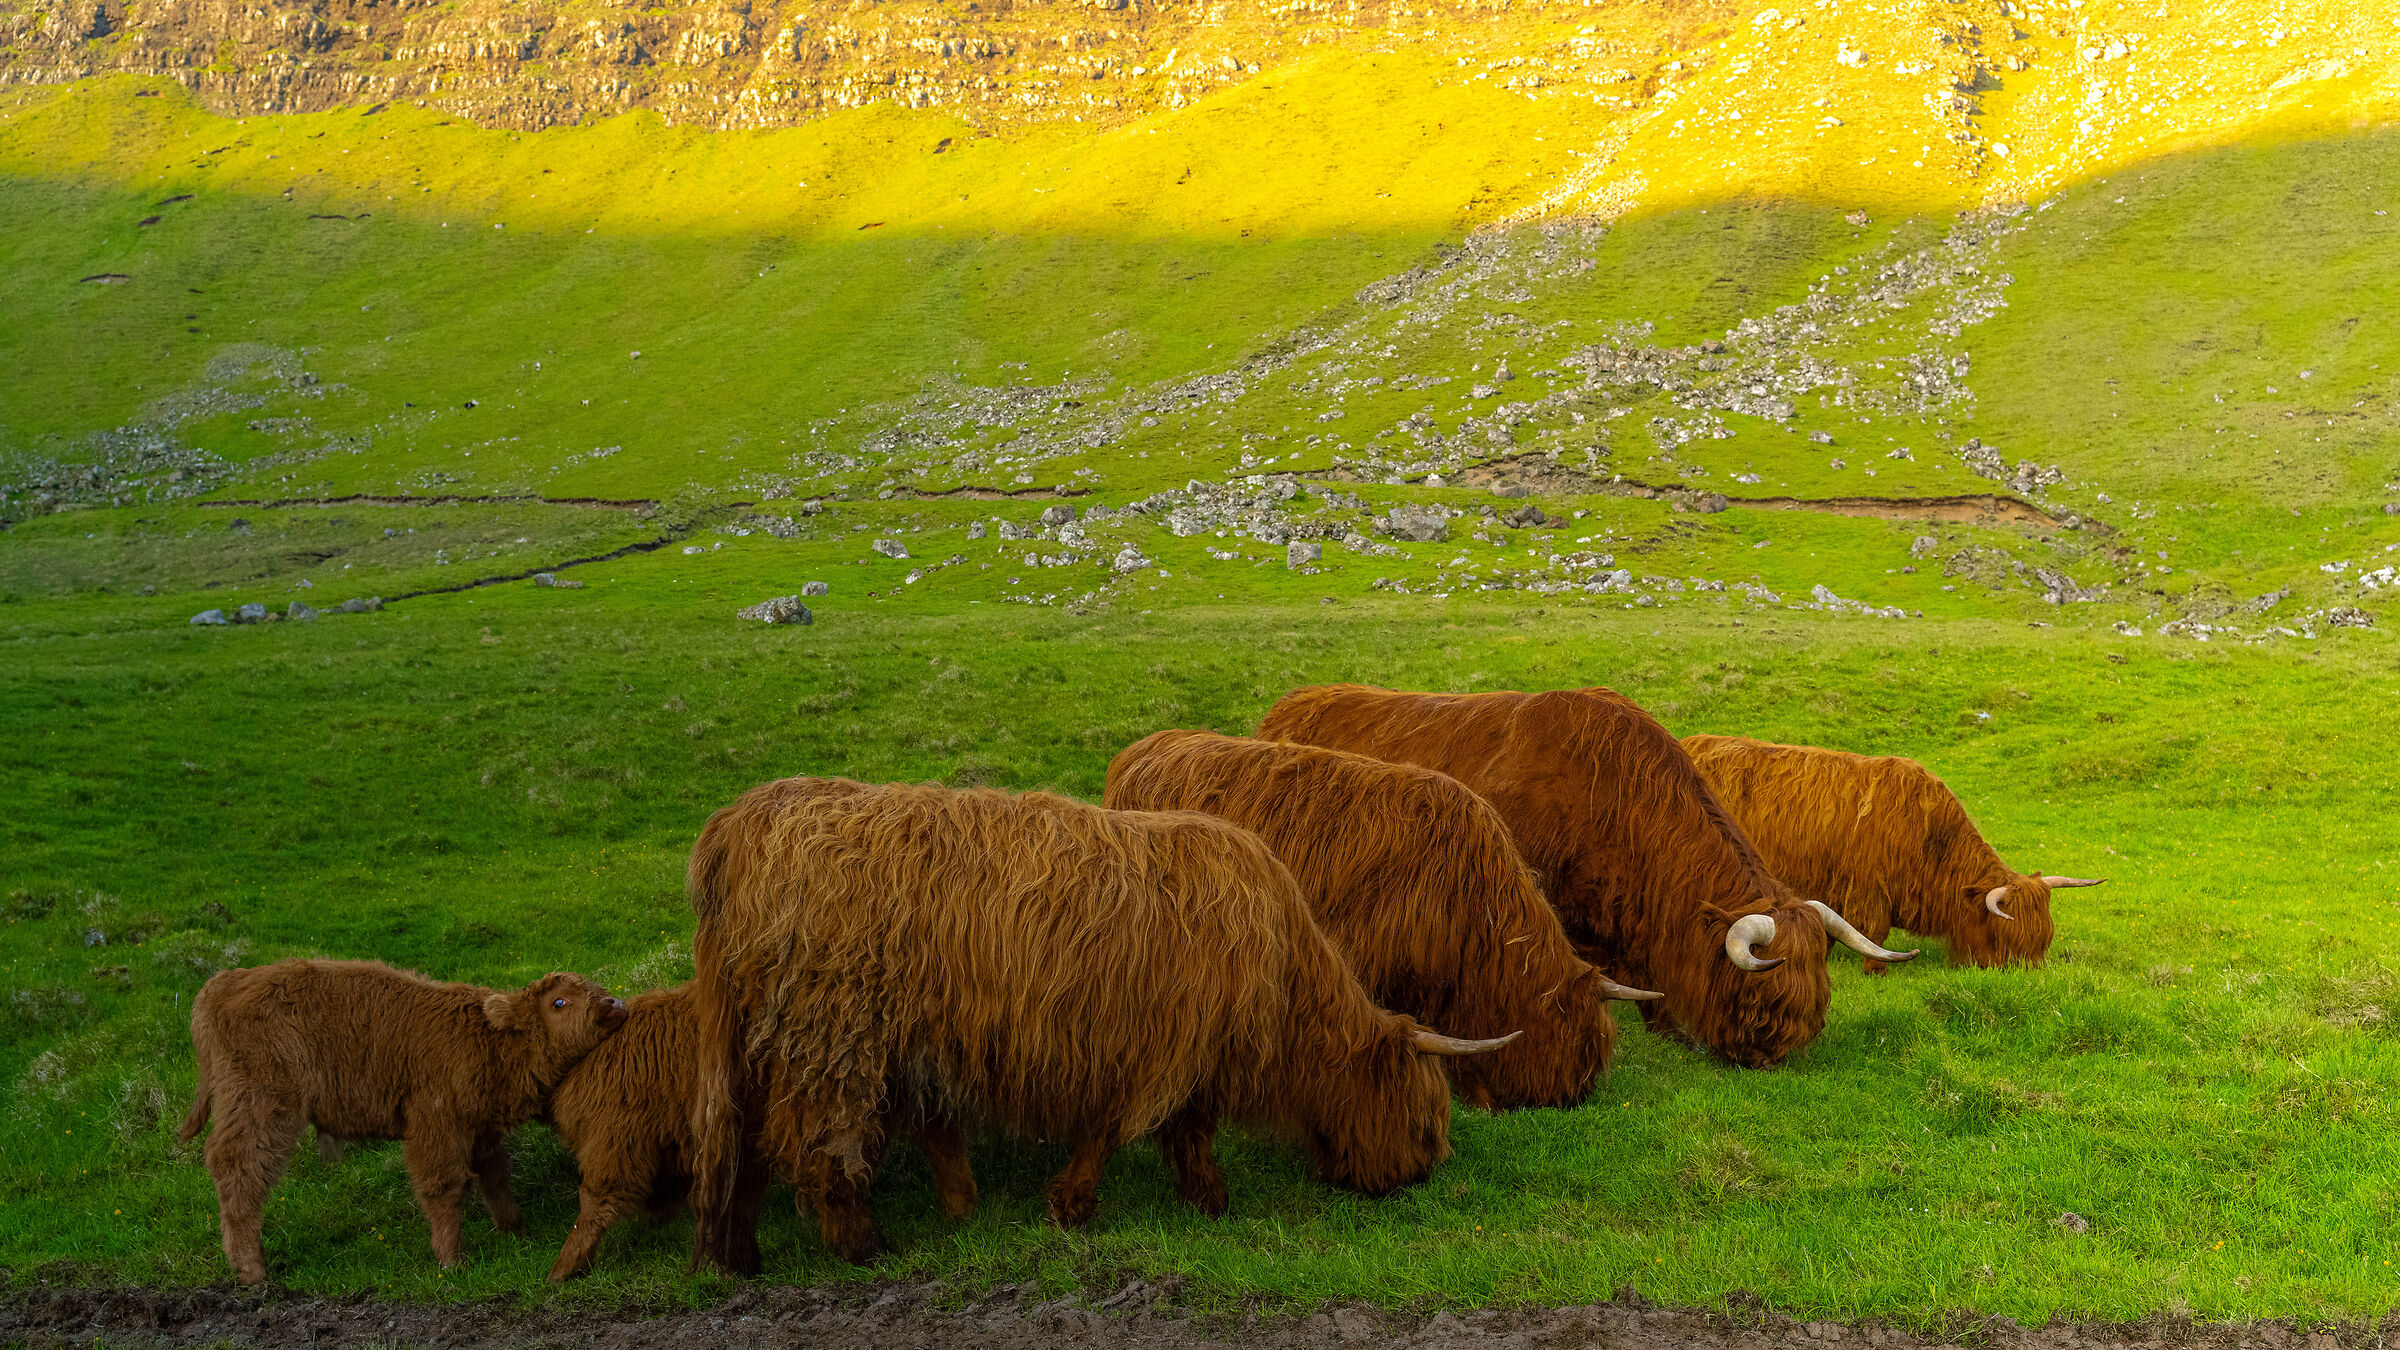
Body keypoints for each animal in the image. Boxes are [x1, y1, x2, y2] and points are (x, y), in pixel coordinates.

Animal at [178, 958, 626, 1285]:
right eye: (560, 1003)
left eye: (595, 989)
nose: (613, 1004)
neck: (487, 1036)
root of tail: (224, 983)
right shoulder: (436, 1127)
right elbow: (444, 1189)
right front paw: (453, 1260)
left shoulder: (480, 1131)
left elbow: (496, 1178)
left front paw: (517, 1232)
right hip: (263, 1108)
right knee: (239, 1172)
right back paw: (253, 1272)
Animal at [681, 778, 1513, 1269]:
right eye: (1424, 1115)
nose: (1419, 1177)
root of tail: (748, 817)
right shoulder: (1167, 1045)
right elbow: (1123, 1128)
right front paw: (1077, 1205)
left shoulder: (1182, 1049)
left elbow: (1184, 1130)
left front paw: (1203, 1198)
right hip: (834, 1035)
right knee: (815, 1141)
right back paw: (862, 1242)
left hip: (763, 1037)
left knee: (742, 1142)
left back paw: (743, 1251)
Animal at [1681, 734, 2104, 971]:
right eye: (2008, 940)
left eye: (2043, 941)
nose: (2031, 977)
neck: (1931, 843)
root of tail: (1690, 743)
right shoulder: (1870, 889)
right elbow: (1874, 933)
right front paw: (1874, 969)